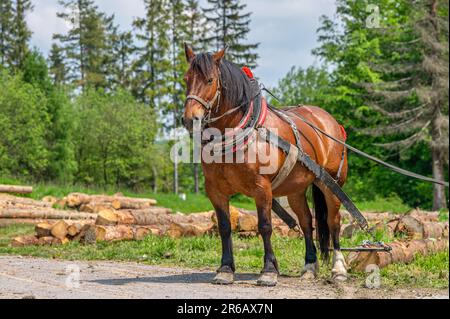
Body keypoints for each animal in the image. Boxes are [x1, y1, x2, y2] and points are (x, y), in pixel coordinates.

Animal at [182, 45, 348, 288]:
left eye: (210, 80)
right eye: (186, 79)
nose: (189, 119)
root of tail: (329, 121)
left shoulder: (262, 188)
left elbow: (265, 226)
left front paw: (269, 270)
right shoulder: (215, 190)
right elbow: (224, 227)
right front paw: (225, 269)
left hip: (331, 184)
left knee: (333, 221)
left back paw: (339, 269)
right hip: (296, 189)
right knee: (306, 221)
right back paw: (309, 266)